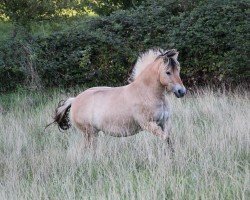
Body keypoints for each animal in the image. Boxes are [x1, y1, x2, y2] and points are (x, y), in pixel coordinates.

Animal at [49, 48, 186, 152]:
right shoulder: (148, 124)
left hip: (92, 134)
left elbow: (169, 140)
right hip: (89, 133)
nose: (182, 91)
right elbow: (165, 138)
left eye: (178, 70)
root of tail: (74, 100)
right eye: (168, 72)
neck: (146, 93)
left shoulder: (165, 122)